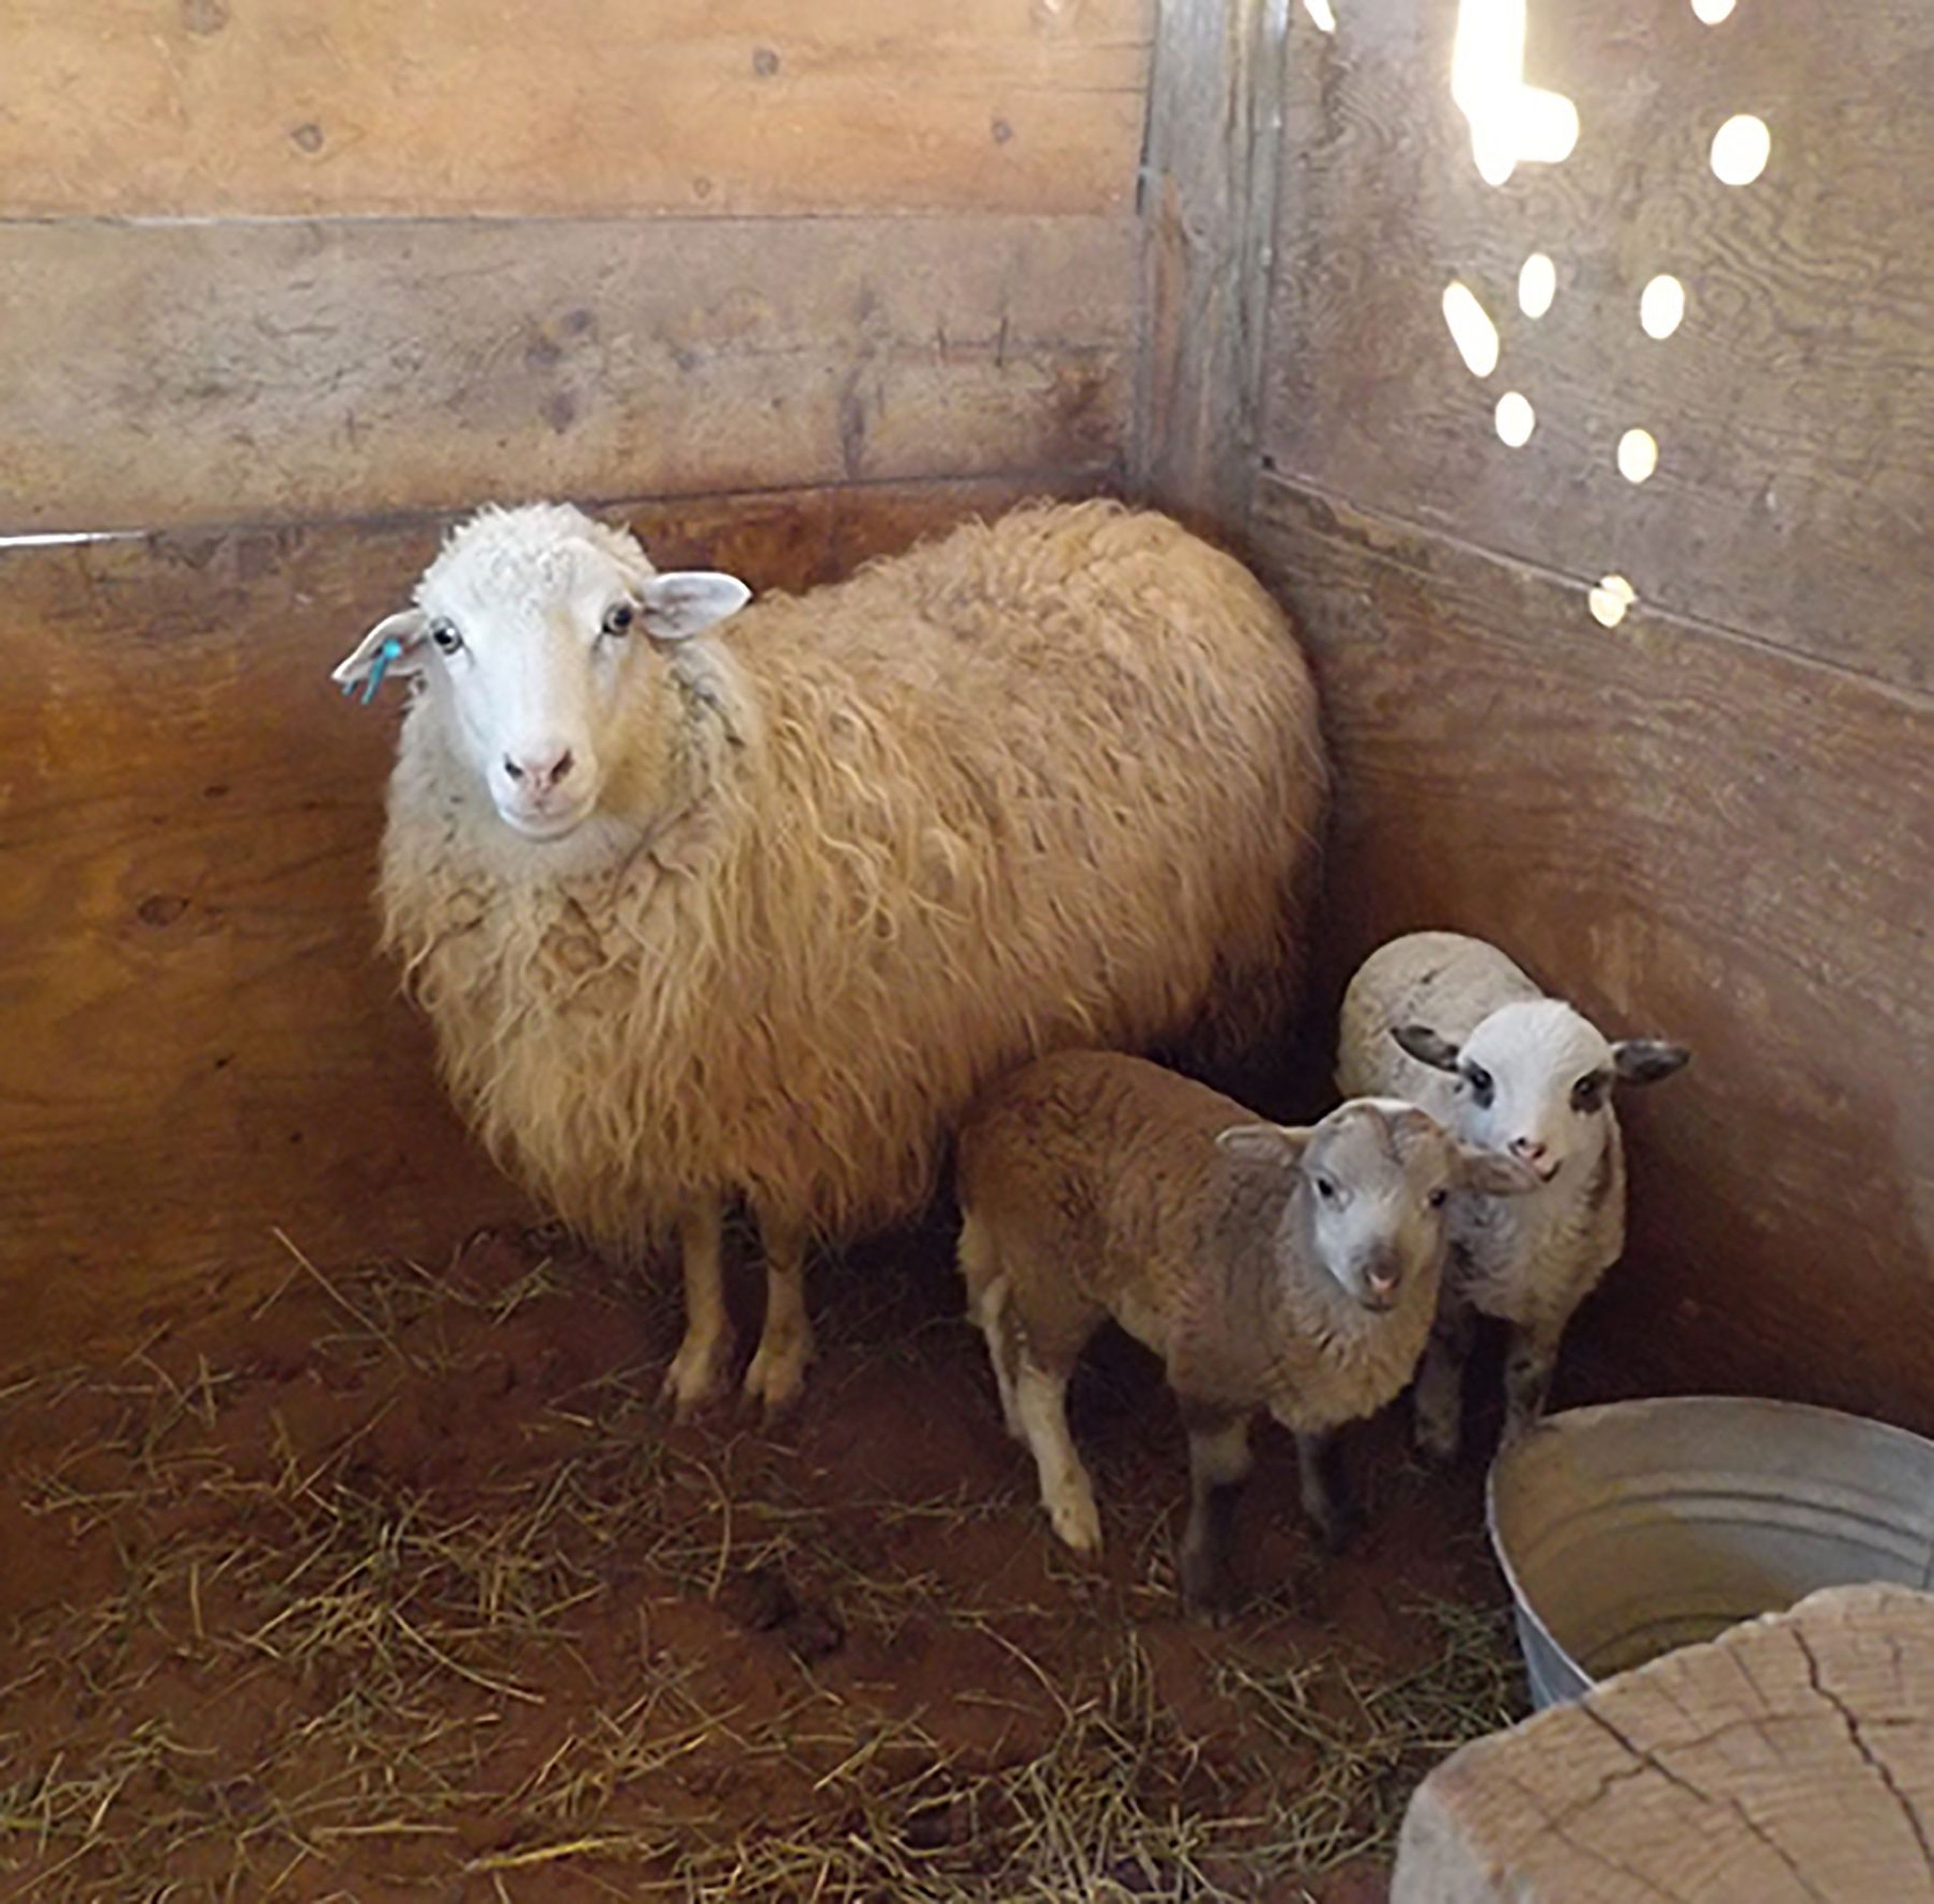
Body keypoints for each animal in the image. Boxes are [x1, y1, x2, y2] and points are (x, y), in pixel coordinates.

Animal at [336, 499, 1330, 1424]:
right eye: (446, 637)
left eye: (618, 620)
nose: (540, 771)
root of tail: (1155, 531)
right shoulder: (677, 1082)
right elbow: (699, 1231)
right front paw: (702, 1353)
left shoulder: (802, 1081)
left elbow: (779, 1236)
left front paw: (778, 1361)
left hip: (1238, 944)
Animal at [955, 1045, 1539, 1617]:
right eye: (1325, 1187)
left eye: (1440, 1196)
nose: (1381, 1274)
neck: (1277, 1258)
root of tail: (992, 1103)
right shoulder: (1207, 1374)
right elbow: (1226, 1479)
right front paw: (1205, 1584)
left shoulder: (1318, 1390)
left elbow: (1324, 1447)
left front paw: (1334, 1519)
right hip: (1055, 1270)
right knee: (1039, 1381)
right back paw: (1069, 1498)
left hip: (1023, 1253)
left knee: (997, 1316)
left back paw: (1016, 1421)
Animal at [1338, 932, 1686, 1455]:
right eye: (1481, 1079)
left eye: (1588, 1086)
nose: (1528, 1148)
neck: (1527, 1223)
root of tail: (1427, 935)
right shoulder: (1449, 1283)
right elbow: (1451, 1345)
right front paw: (1438, 1430)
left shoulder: (1555, 1300)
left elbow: (1529, 1378)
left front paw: (1520, 1448)